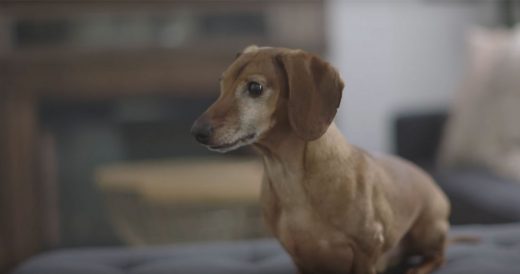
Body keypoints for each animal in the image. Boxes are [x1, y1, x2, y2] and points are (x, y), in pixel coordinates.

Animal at [192, 45, 450, 274]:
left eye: (255, 87)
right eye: (221, 83)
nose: (196, 132)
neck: (289, 179)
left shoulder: (367, 250)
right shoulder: (299, 259)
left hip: (427, 230)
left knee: (438, 256)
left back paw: (419, 268)